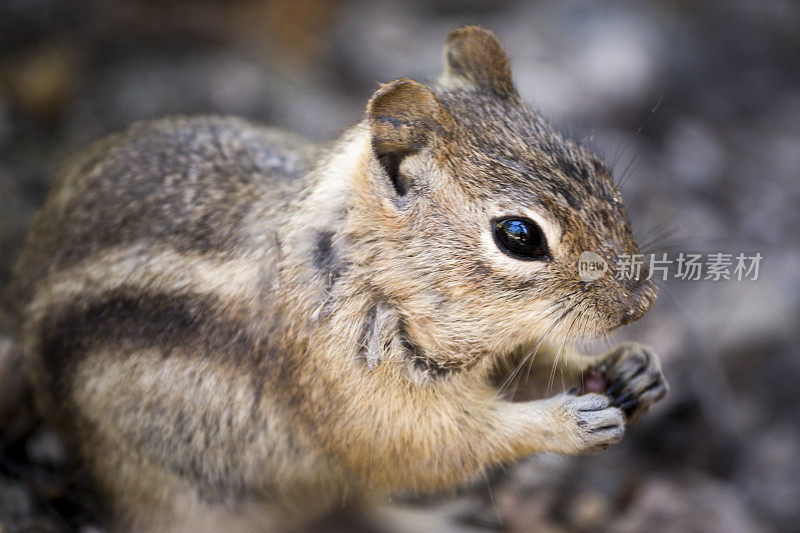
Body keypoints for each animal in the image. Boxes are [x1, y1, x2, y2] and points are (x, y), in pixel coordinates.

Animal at [9, 26, 668, 532]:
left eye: (600, 169)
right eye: (518, 235)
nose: (640, 303)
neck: (370, 271)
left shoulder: (492, 349)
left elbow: (528, 364)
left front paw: (631, 366)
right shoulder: (356, 392)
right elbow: (435, 445)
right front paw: (567, 421)